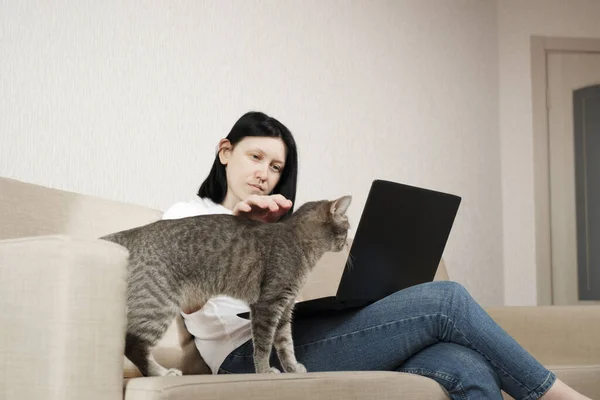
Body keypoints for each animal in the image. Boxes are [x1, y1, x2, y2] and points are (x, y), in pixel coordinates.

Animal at [99, 195, 352, 376]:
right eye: (348, 225)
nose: (348, 244)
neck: (298, 241)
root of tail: (135, 232)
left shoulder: (285, 308)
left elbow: (285, 344)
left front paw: (292, 368)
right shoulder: (267, 305)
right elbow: (263, 346)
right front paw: (264, 371)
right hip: (157, 305)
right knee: (133, 346)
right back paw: (160, 373)